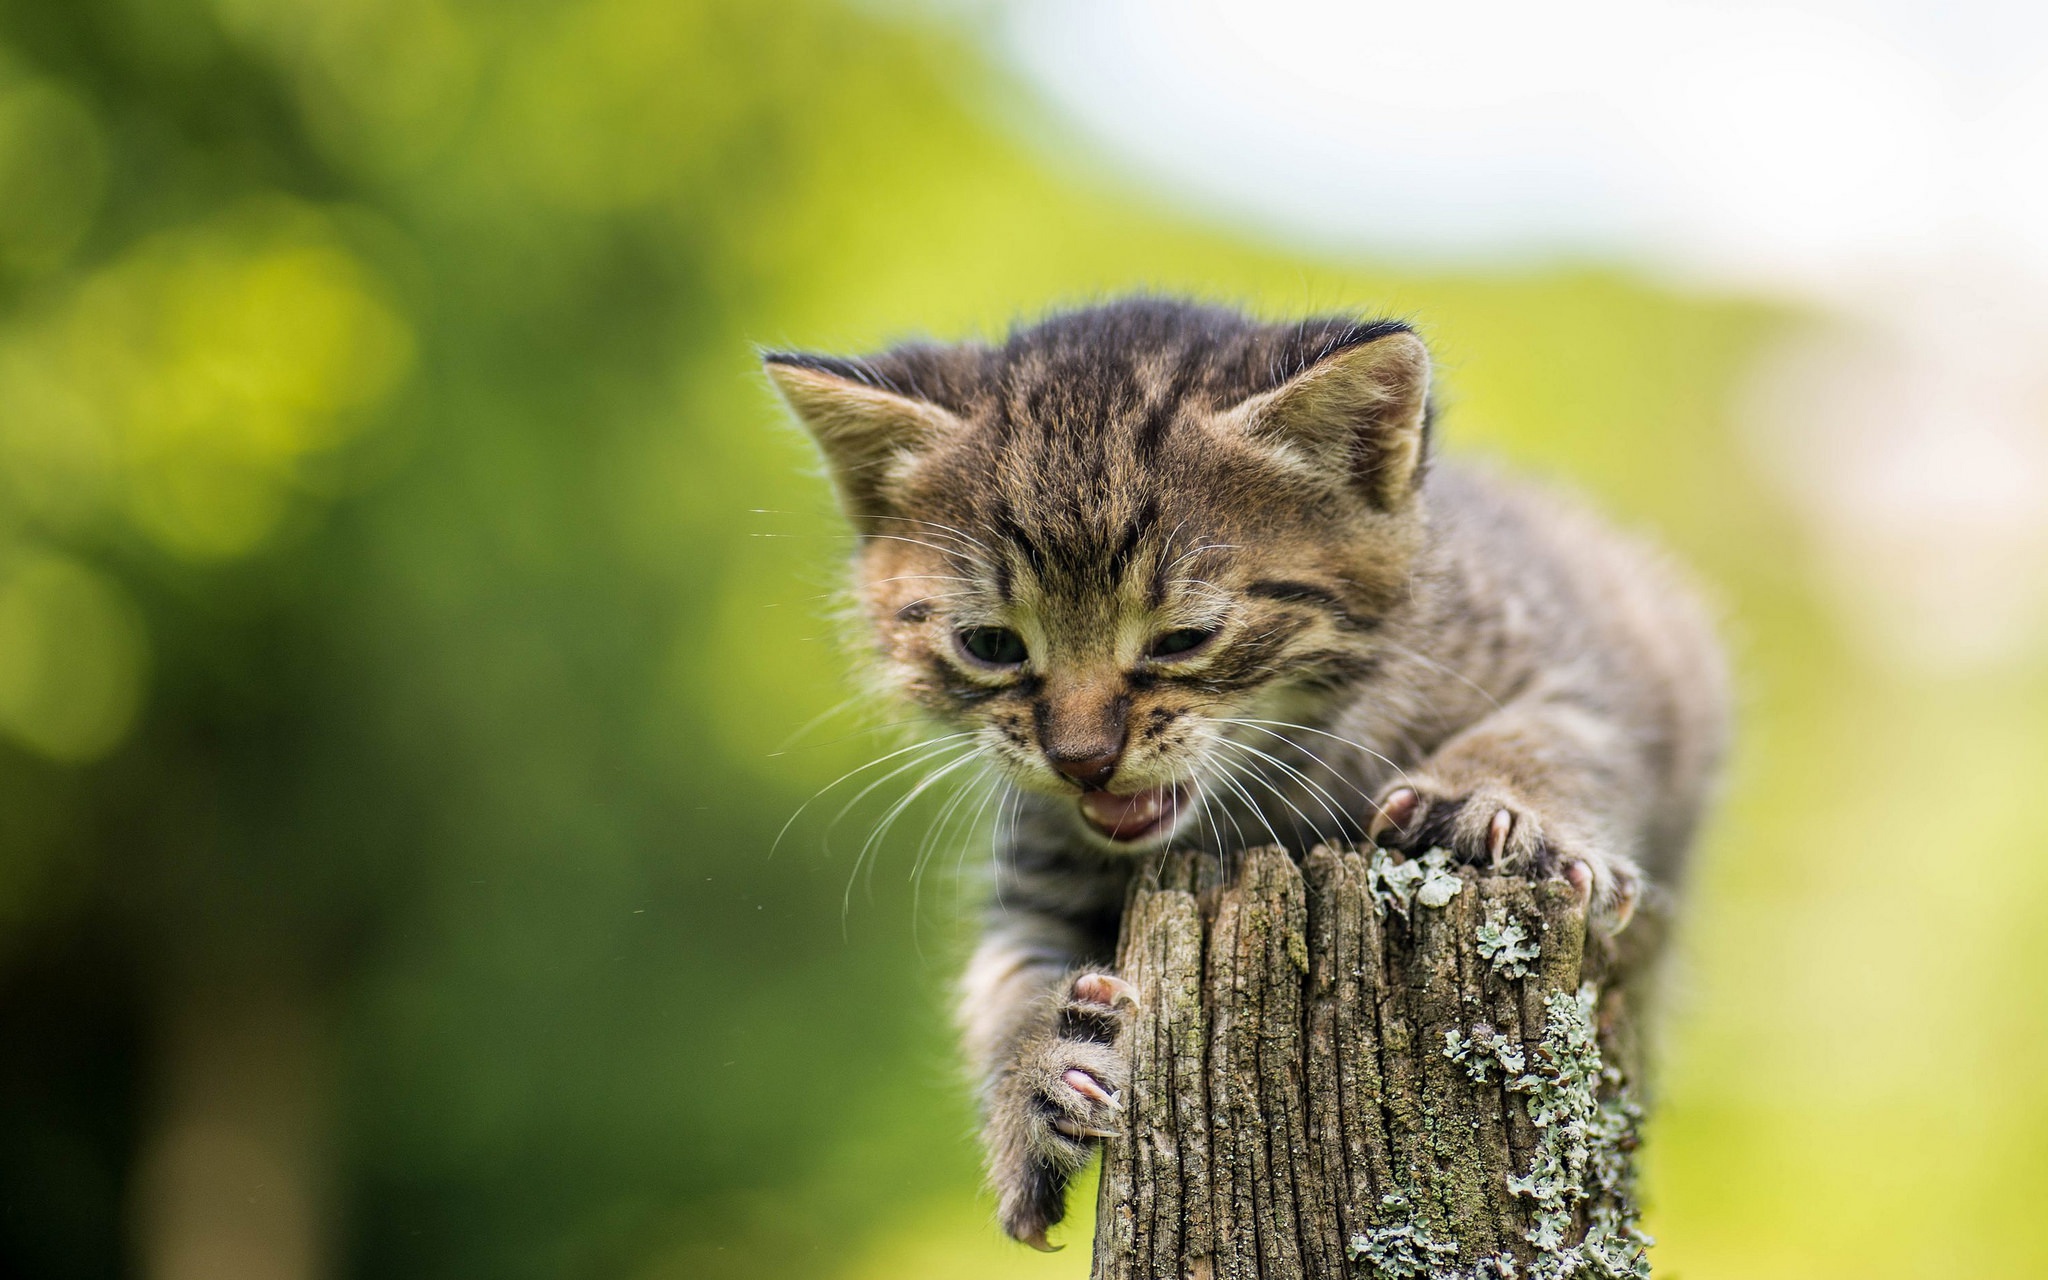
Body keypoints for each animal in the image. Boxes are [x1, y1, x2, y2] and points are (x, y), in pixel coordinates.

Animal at [765, 299, 1728, 1245]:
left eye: (1183, 640)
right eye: (992, 646)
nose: (1082, 759)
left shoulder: (1586, 669)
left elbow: (1563, 732)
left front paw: (1490, 804)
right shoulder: (1039, 860)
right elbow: (998, 981)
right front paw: (1032, 1077)